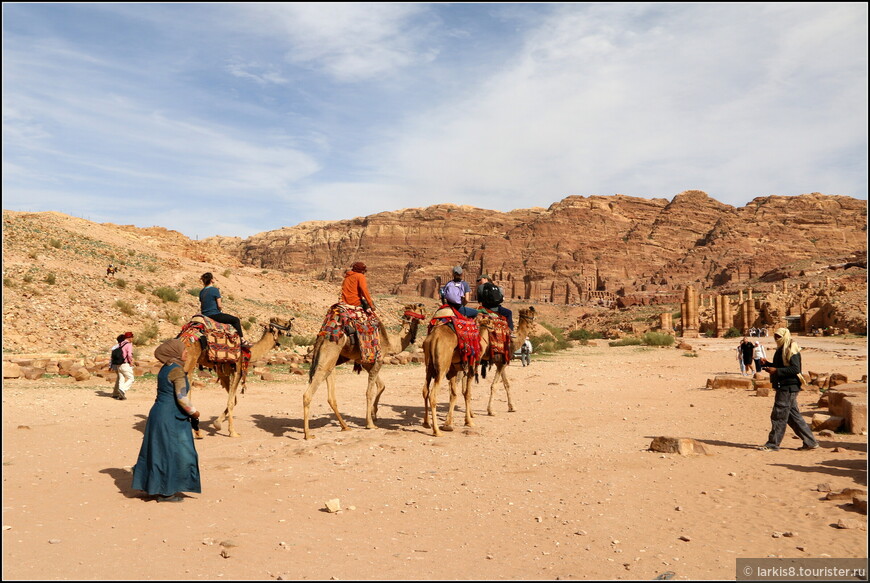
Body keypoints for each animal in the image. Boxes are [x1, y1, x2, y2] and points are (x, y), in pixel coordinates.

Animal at [304, 304, 430, 440]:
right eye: (419, 307)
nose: (425, 309)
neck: (390, 342)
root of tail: (323, 334)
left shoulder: (366, 363)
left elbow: (381, 385)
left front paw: (374, 414)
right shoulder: (378, 360)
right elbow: (369, 392)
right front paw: (370, 424)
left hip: (332, 358)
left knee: (331, 395)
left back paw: (345, 426)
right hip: (331, 350)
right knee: (309, 392)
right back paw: (308, 434)